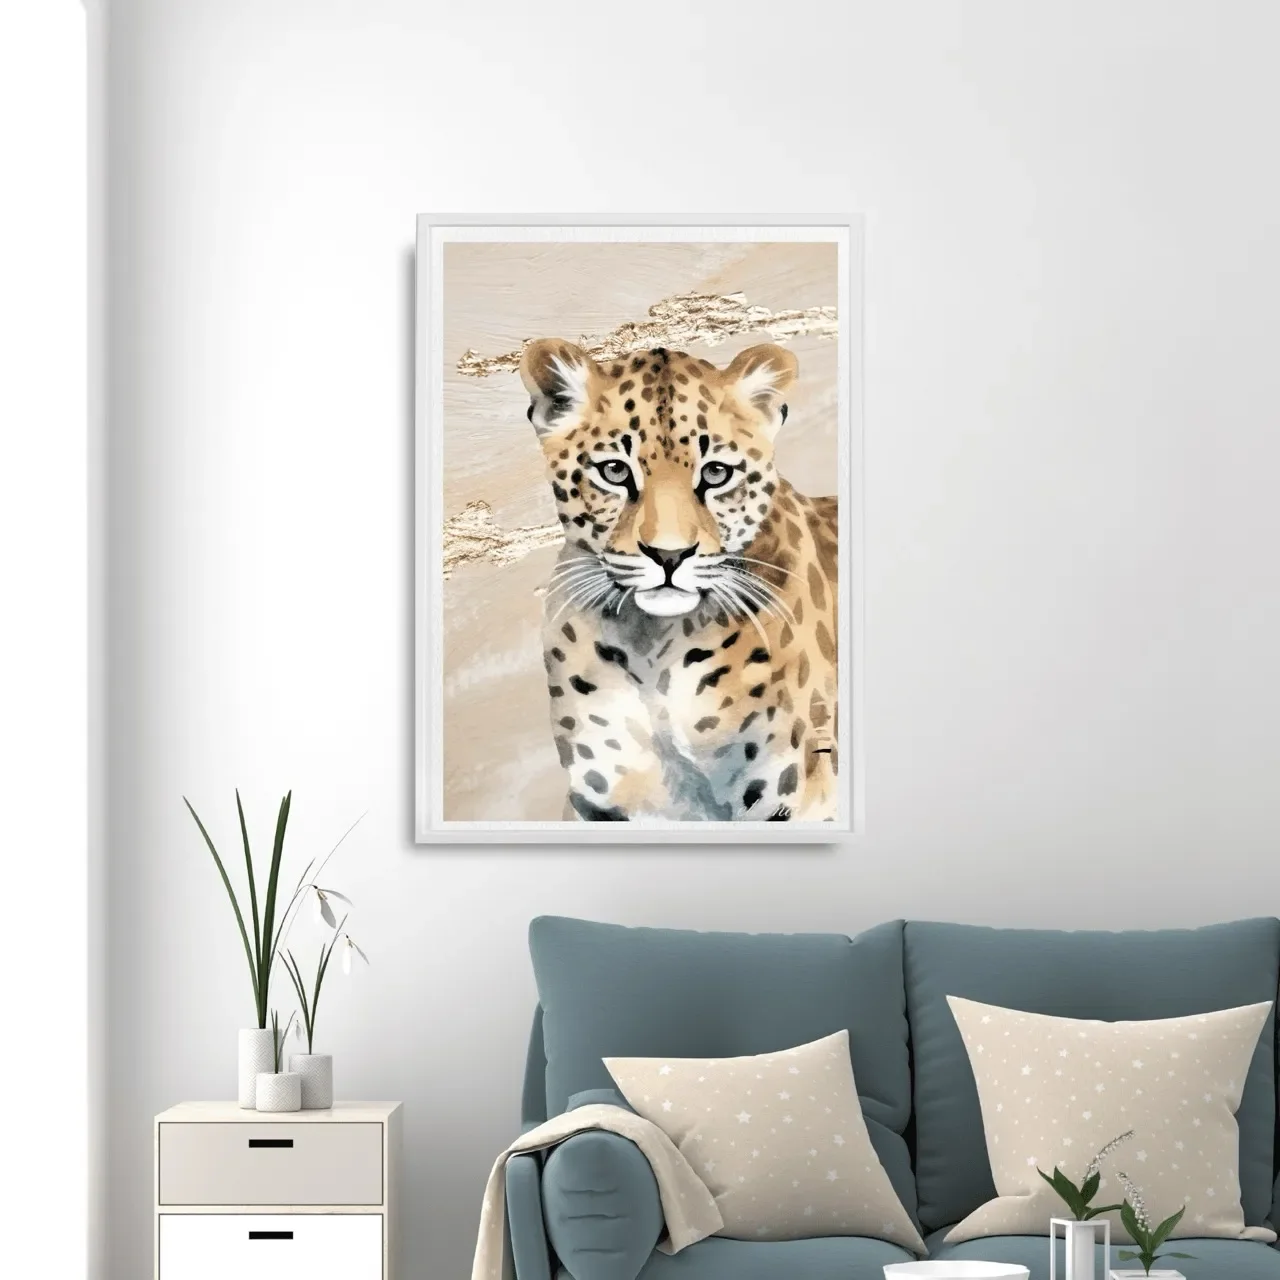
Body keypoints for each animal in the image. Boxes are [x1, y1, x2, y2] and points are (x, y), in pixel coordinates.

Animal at [518, 338, 839, 824]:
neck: (651, 649)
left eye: (716, 473)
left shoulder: (792, 795)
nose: (669, 555)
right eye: (614, 471)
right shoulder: (601, 803)